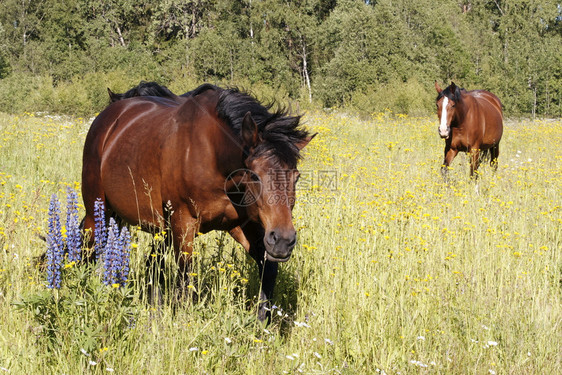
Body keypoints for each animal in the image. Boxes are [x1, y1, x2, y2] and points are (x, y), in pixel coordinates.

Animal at [82, 83, 316, 322]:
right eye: (254, 175)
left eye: (296, 176)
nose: (283, 240)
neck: (213, 156)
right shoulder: (183, 224)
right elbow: (186, 279)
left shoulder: (245, 225)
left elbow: (268, 270)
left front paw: (261, 322)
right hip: (98, 210)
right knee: (88, 245)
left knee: (151, 264)